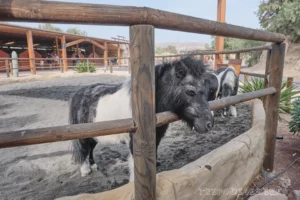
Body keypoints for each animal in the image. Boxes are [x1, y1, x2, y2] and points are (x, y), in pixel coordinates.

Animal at [69, 57, 214, 180]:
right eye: (190, 91)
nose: (209, 124)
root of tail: (78, 93)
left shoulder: (156, 139)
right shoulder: (135, 143)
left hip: (95, 134)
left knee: (90, 148)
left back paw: (93, 166)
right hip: (84, 135)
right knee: (84, 148)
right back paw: (85, 170)